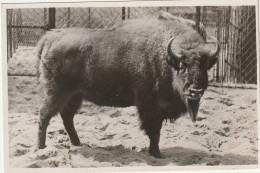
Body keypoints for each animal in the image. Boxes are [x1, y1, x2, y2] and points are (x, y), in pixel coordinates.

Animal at [36, 11, 219, 158]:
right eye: (182, 66)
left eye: (205, 66)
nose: (195, 90)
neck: (165, 57)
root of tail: (50, 38)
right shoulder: (149, 105)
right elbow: (154, 130)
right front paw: (157, 154)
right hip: (57, 92)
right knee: (45, 115)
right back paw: (41, 147)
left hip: (76, 94)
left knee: (66, 116)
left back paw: (77, 143)